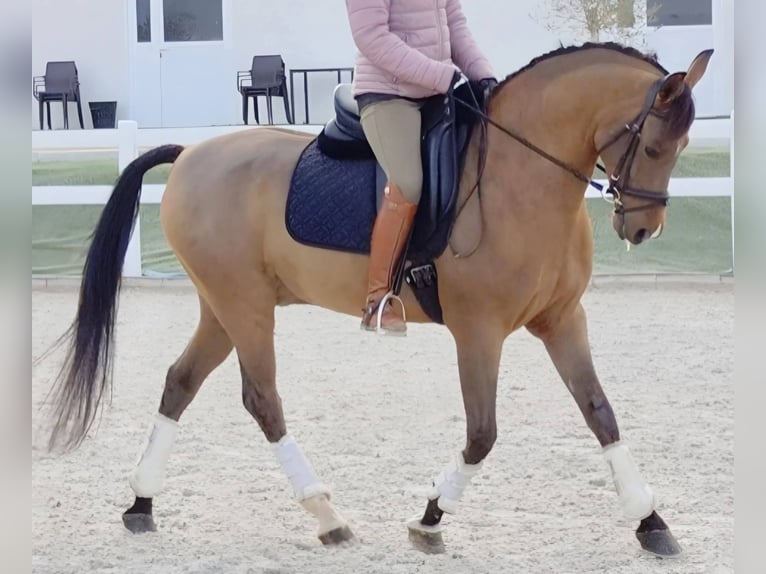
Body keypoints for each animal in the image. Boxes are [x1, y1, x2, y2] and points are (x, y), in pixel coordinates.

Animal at [42, 42, 713, 557]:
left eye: (680, 149)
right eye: (656, 146)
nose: (642, 229)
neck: (520, 176)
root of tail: (189, 154)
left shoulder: (562, 319)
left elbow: (601, 413)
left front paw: (650, 521)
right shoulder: (479, 330)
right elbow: (482, 432)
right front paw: (430, 519)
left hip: (223, 307)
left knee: (180, 383)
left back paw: (141, 502)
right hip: (244, 307)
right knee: (262, 400)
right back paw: (327, 517)